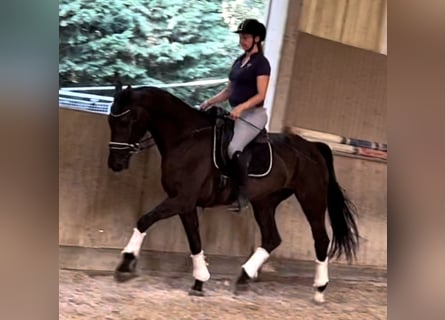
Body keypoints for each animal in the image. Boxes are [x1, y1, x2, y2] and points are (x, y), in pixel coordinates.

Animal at [109, 82, 360, 302]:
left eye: (127, 119)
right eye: (111, 121)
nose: (115, 163)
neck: (186, 138)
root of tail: (312, 147)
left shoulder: (182, 200)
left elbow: (145, 219)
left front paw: (126, 263)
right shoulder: (185, 203)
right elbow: (194, 240)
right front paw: (199, 282)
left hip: (311, 198)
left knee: (321, 239)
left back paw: (319, 290)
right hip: (265, 202)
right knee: (272, 238)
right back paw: (244, 277)